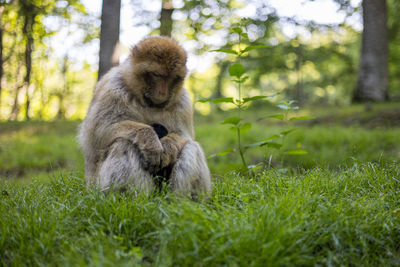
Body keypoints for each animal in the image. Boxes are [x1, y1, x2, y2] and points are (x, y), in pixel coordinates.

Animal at [76, 36, 211, 197]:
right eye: (157, 75)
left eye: (172, 78)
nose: (162, 93)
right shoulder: (112, 89)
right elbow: (96, 134)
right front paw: (150, 139)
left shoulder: (183, 102)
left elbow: (183, 135)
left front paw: (167, 147)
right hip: (96, 186)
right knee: (123, 143)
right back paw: (133, 198)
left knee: (191, 146)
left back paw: (179, 200)